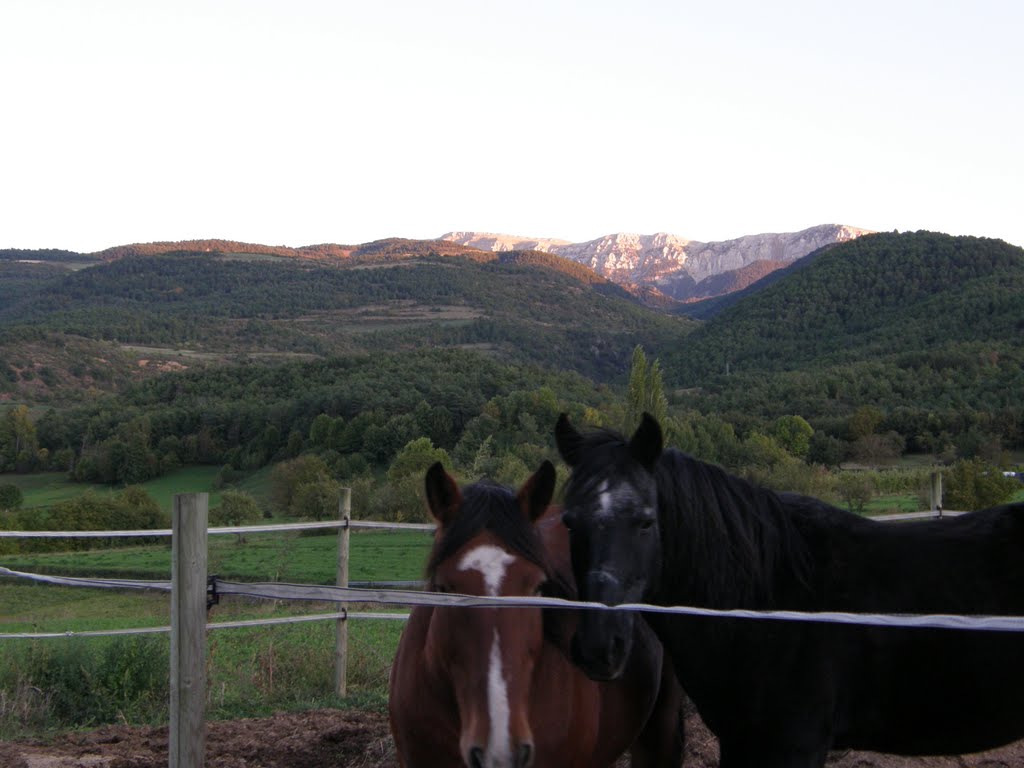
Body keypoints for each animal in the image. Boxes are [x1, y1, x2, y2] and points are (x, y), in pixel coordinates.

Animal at [557, 415, 1024, 768]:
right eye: (568, 523)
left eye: (646, 521)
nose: (600, 647)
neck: (767, 604)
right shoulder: (740, 742)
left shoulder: (795, 745)